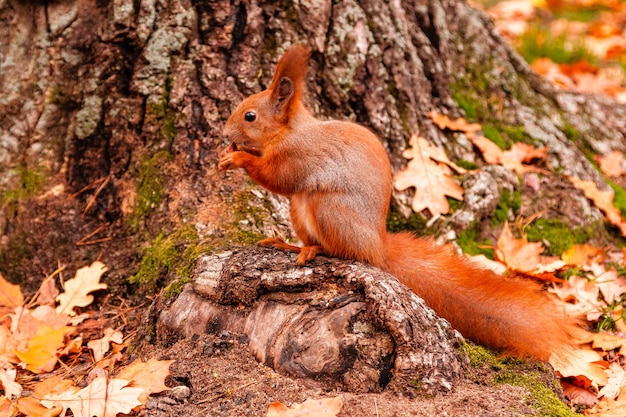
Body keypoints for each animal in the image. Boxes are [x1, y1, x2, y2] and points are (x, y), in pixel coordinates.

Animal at [218, 44, 580, 360]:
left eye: (250, 116)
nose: (225, 132)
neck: (290, 130)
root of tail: (378, 246)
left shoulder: (298, 157)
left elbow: (277, 178)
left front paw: (237, 158)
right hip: (301, 209)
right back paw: (290, 245)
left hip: (328, 209)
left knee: (340, 250)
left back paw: (313, 249)